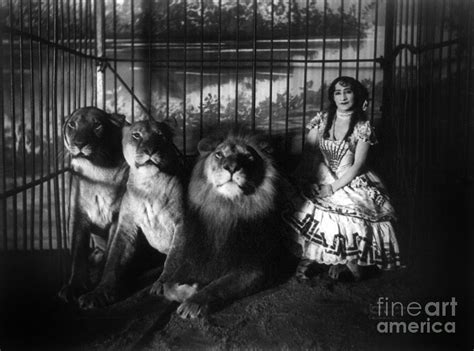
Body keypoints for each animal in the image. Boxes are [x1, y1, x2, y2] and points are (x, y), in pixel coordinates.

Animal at [58, 106, 129, 302]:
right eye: (72, 125)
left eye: (97, 125)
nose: (79, 143)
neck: (97, 169)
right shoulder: (77, 215)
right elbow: (77, 254)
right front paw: (74, 287)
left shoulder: (118, 218)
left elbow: (112, 256)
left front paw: (98, 291)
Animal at [78, 119, 185, 310]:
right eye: (136, 135)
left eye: (161, 135)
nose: (150, 150)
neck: (149, 186)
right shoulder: (126, 228)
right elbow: (113, 262)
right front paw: (99, 292)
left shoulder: (182, 222)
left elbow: (174, 258)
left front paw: (163, 284)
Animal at [156, 131, 282, 320]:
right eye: (219, 154)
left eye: (248, 156)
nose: (231, 167)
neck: (226, 209)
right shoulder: (195, 259)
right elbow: (168, 287)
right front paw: (188, 290)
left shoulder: (256, 268)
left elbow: (219, 285)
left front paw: (194, 301)